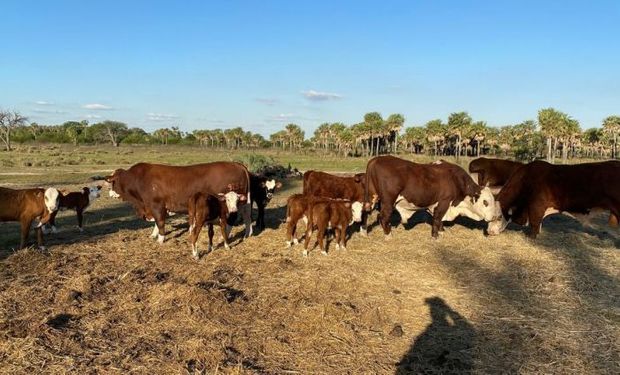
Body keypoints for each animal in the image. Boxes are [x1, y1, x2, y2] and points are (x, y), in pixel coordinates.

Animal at [105, 162, 251, 247]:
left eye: (112, 183)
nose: (110, 194)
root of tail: (238, 164)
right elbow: (157, 223)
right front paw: (154, 235)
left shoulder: (156, 205)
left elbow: (160, 222)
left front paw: (160, 239)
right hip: (242, 201)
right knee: (246, 216)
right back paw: (247, 234)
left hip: (230, 202)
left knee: (232, 219)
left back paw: (224, 235)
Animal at [366, 155, 496, 238]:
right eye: (485, 202)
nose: (493, 217)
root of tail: (376, 159)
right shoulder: (444, 202)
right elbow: (437, 219)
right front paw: (435, 236)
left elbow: (440, 220)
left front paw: (441, 231)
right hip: (388, 201)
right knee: (383, 216)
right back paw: (388, 235)